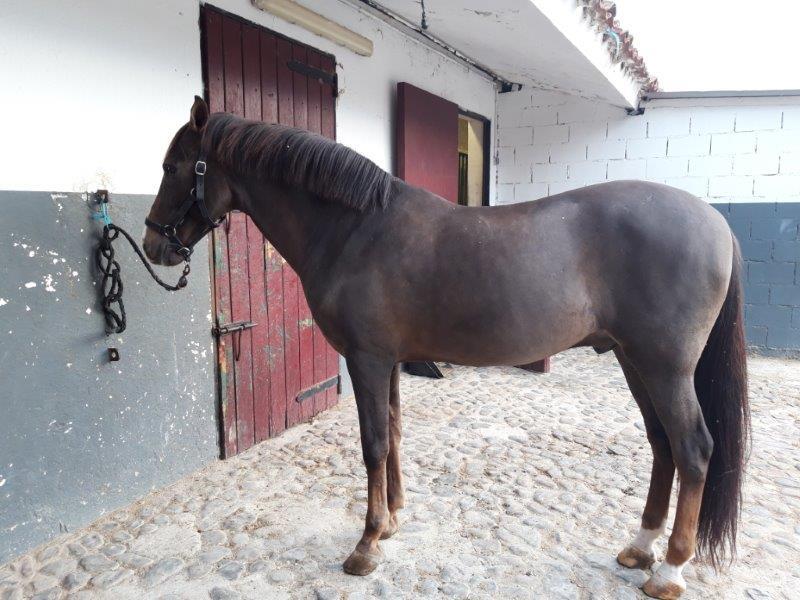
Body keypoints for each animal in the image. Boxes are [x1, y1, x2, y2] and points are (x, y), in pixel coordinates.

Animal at [143, 97, 749, 600]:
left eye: (174, 167)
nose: (153, 244)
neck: (354, 229)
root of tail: (718, 223)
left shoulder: (366, 360)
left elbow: (372, 444)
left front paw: (366, 546)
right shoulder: (386, 362)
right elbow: (393, 434)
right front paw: (390, 521)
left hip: (665, 367)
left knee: (692, 448)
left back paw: (669, 571)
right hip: (632, 360)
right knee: (662, 444)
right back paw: (640, 548)